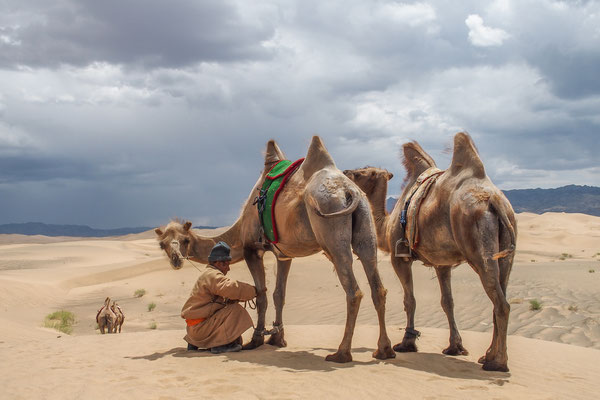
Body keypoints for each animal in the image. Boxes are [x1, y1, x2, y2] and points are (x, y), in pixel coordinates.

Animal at [157, 135, 396, 362]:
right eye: (162, 245)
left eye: (185, 241)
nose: (176, 260)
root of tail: (349, 190)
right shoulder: (284, 255)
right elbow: (279, 294)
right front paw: (277, 338)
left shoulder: (251, 249)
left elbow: (261, 294)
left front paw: (256, 339)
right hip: (365, 225)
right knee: (377, 285)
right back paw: (384, 350)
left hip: (332, 228)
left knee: (353, 290)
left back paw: (341, 353)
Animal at [342, 132, 516, 372]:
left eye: (361, 173)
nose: (345, 172)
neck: (386, 224)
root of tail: (495, 200)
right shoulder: (442, 263)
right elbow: (447, 302)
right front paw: (455, 347)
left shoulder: (400, 257)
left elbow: (410, 299)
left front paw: (406, 342)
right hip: (506, 250)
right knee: (500, 295)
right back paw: (487, 355)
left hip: (480, 249)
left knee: (501, 303)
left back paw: (497, 362)